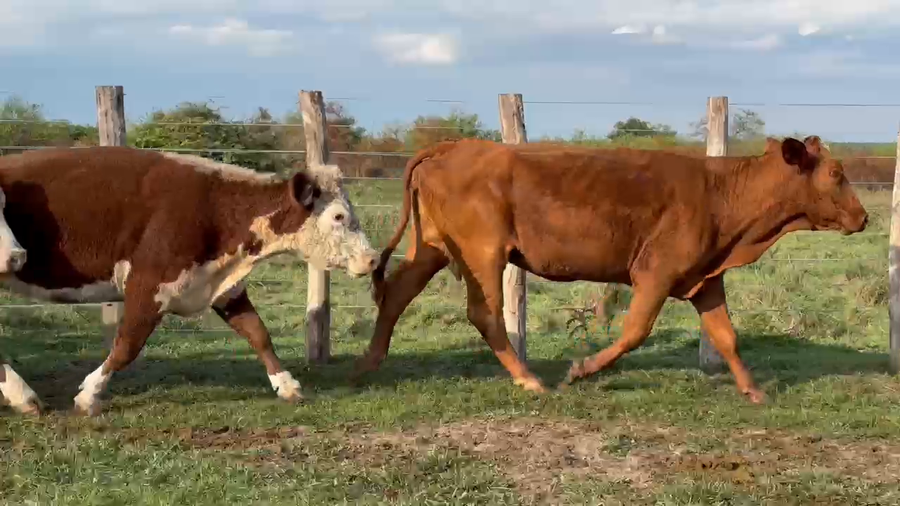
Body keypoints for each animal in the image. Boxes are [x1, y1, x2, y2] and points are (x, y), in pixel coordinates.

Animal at [0, 146, 379, 416]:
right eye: (338, 216)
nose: (372, 257)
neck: (215, 209)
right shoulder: (148, 287)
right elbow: (126, 346)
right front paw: (89, 395)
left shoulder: (225, 289)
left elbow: (259, 335)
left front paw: (287, 385)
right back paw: (24, 396)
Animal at [351, 136, 869, 404]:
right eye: (836, 174)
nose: (863, 217)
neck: (721, 195)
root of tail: (454, 145)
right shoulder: (655, 275)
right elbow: (635, 331)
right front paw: (582, 370)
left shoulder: (705, 279)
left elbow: (726, 336)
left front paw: (753, 390)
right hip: (483, 253)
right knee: (485, 314)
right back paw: (528, 379)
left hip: (433, 247)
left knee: (395, 293)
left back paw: (370, 362)